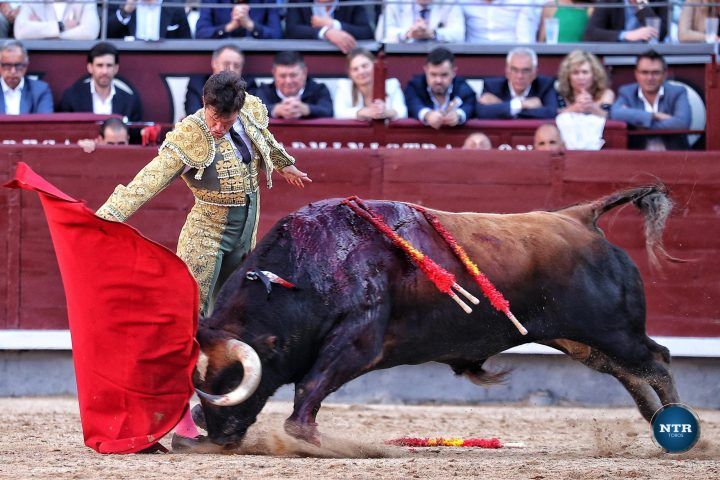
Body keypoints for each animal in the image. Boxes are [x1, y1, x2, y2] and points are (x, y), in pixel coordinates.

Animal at [190, 185, 680, 450]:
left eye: (229, 379)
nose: (216, 435)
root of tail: (580, 217)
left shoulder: (360, 342)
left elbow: (310, 386)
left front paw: (308, 438)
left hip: (612, 329)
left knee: (656, 360)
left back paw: (676, 432)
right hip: (582, 341)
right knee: (629, 372)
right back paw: (654, 421)